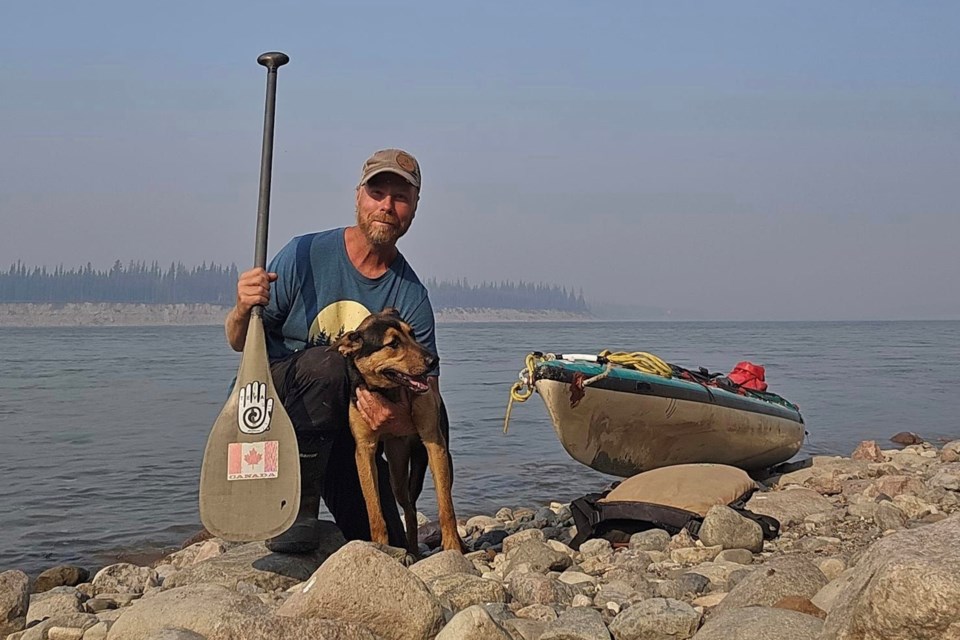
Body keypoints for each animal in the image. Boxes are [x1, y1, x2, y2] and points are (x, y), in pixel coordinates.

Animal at [332, 308, 464, 552]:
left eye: (412, 334)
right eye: (392, 343)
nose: (434, 360)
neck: (388, 392)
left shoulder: (434, 444)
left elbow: (446, 507)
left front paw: (453, 547)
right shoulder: (363, 451)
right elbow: (374, 510)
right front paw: (379, 546)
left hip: (435, 461)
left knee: (423, 501)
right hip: (397, 473)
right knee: (409, 509)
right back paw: (411, 550)